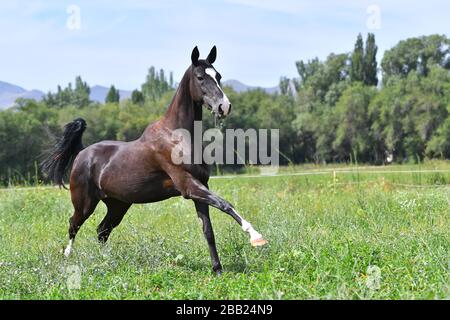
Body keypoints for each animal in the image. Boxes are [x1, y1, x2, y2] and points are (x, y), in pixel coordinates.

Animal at [41, 46, 268, 274]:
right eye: (200, 77)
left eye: (218, 76)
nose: (224, 106)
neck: (177, 136)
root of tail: (82, 153)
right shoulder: (188, 186)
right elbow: (225, 204)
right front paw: (256, 237)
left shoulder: (200, 186)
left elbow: (208, 230)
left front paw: (218, 270)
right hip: (85, 203)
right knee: (74, 225)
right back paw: (68, 258)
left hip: (118, 205)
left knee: (102, 230)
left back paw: (106, 262)